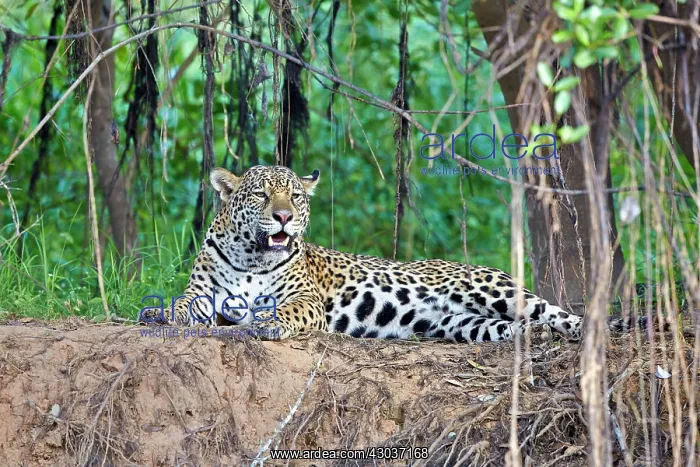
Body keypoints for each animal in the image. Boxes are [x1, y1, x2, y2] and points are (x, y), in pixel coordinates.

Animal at [141, 164, 633, 343]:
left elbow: (286, 310)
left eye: (295, 196)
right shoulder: (205, 291)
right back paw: (530, 337)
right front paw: (159, 314)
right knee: (507, 327)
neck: (251, 257)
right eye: (261, 195)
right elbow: (183, 303)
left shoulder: (305, 299)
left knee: (559, 313)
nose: (283, 217)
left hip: (495, 289)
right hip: (459, 324)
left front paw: (267, 323)